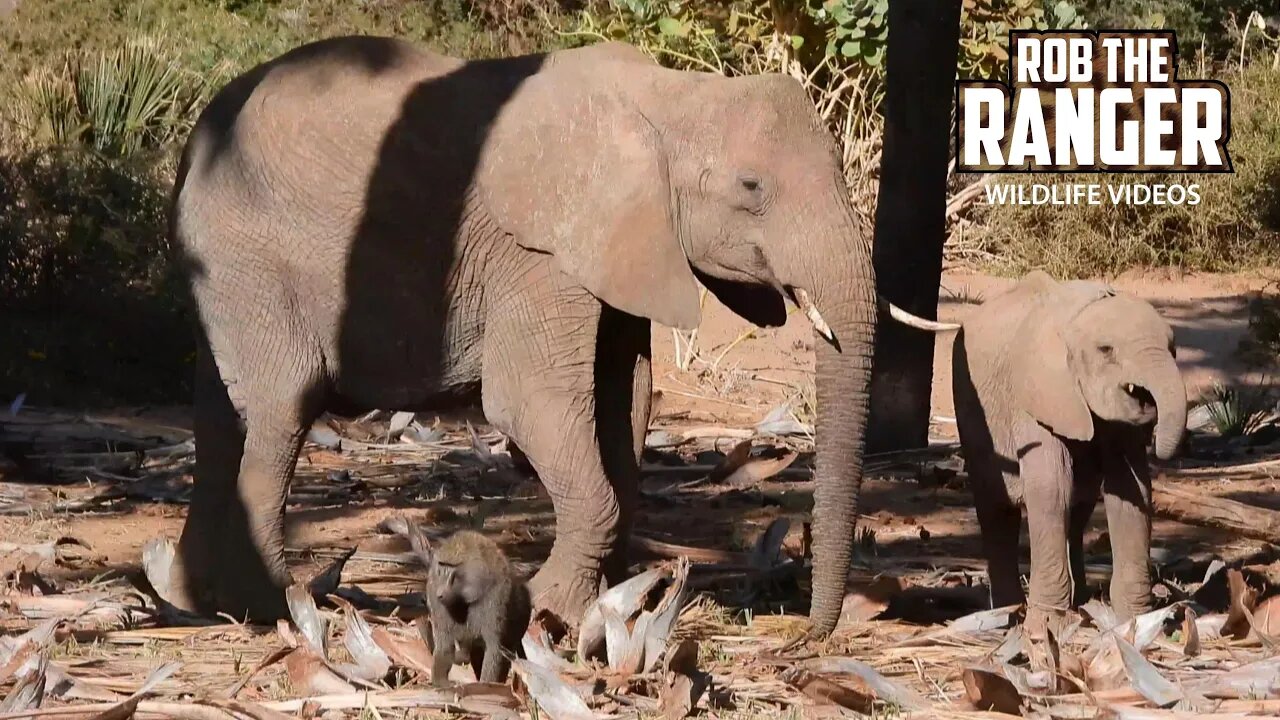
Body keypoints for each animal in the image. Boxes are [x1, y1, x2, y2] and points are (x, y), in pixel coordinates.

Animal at [165, 36, 952, 630]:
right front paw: (546, 611)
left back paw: (198, 601)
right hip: (249, 251)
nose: (813, 632)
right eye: (751, 189)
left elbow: (624, 402)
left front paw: (616, 600)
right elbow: (530, 403)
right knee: (283, 405)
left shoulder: (621, 245)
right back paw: (278, 610)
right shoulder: (538, 251)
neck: (671, 98)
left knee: (222, 415)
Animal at [952, 269, 1187, 627]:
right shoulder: (1038, 396)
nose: (1157, 439)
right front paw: (1047, 625)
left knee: (1079, 508)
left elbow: (1130, 491)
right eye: (1106, 350)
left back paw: (1080, 602)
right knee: (996, 506)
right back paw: (1007, 612)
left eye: (1172, 348)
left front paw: (1134, 620)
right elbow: (1051, 488)